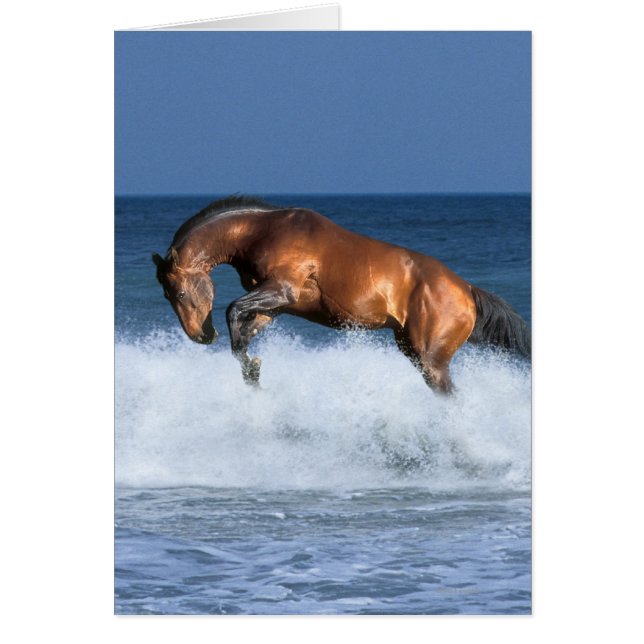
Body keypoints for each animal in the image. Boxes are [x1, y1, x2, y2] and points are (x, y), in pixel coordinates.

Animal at [153, 195, 530, 394]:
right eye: (167, 296)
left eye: (180, 292)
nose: (201, 336)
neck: (262, 231)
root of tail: (466, 289)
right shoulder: (274, 306)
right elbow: (243, 335)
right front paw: (253, 372)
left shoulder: (281, 289)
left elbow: (232, 310)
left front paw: (251, 370)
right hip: (412, 350)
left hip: (430, 361)